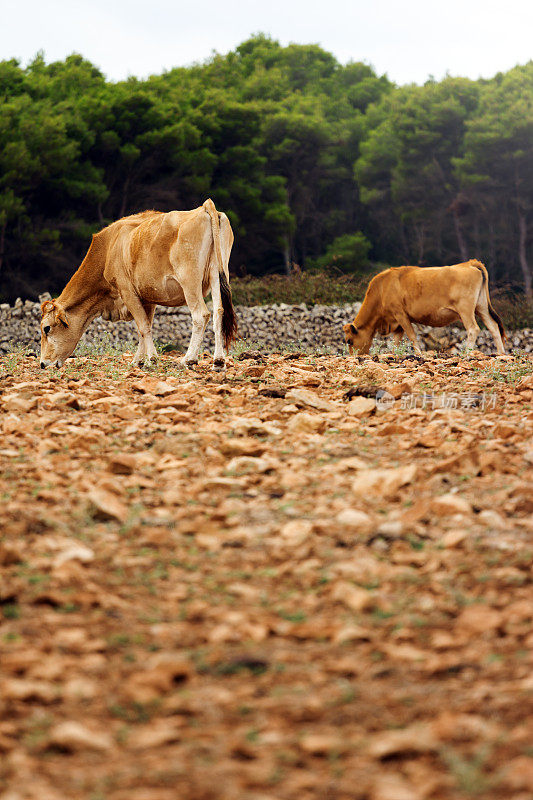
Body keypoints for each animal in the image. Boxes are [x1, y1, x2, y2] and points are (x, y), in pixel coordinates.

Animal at [42, 203, 238, 372]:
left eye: (46, 328)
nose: (43, 363)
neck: (109, 246)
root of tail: (205, 207)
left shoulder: (127, 291)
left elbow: (143, 326)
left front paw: (152, 360)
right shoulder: (148, 297)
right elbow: (145, 327)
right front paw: (139, 360)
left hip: (190, 281)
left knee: (201, 315)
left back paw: (188, 359)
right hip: (218, 274)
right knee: (218, 312)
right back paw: (218, 361)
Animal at [342, 260, 504, 356]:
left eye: (349, 341)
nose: (354, 357)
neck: (382, 289)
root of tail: (469, 263)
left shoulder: (400, 314)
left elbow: (412, 336)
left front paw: (419, 354)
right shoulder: (397, 321)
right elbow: (396, 341)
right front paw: (394, 353)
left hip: (465, 309)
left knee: (473, 328)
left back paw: (466, 353)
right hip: (481, 307)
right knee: (493, 326)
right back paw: (501, 353)